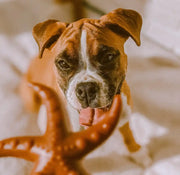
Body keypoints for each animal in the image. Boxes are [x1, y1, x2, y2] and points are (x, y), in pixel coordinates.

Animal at [20, 7, 152, 167]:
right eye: (63, 63)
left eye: (108, 57)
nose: (86, 89)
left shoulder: (125, 114)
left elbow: (127, 134)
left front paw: (135, 151)